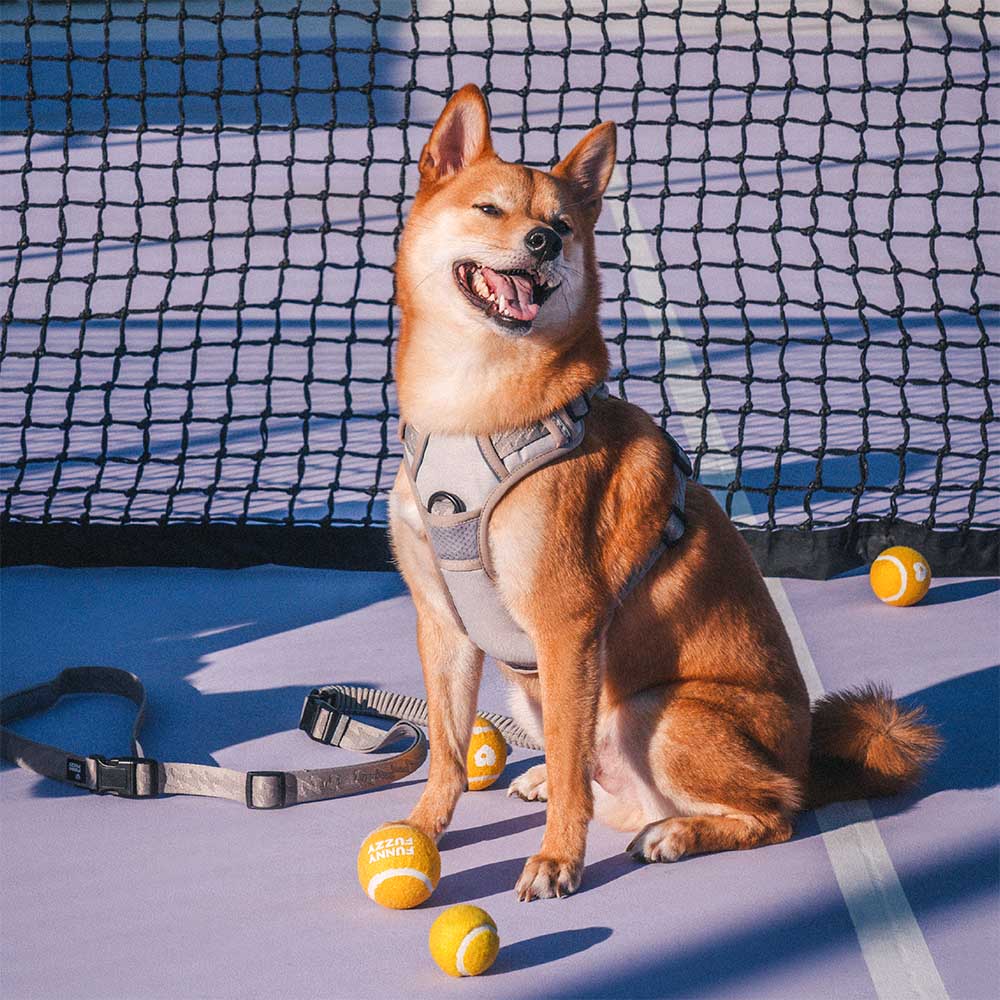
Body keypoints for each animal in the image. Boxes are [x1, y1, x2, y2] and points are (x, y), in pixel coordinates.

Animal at [388, 84, 936, 900]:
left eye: (562, 225)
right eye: (489, 210)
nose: (543, 245)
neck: (475, 414)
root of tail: (803, 758)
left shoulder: (567, 626)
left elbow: (562, 762)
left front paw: (557, 859)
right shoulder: (443, 623)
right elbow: (448, 753)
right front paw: (423, 833)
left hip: (660, 709)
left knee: (772, 811)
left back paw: (676, 832)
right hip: (546, 690)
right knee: (595, 772)